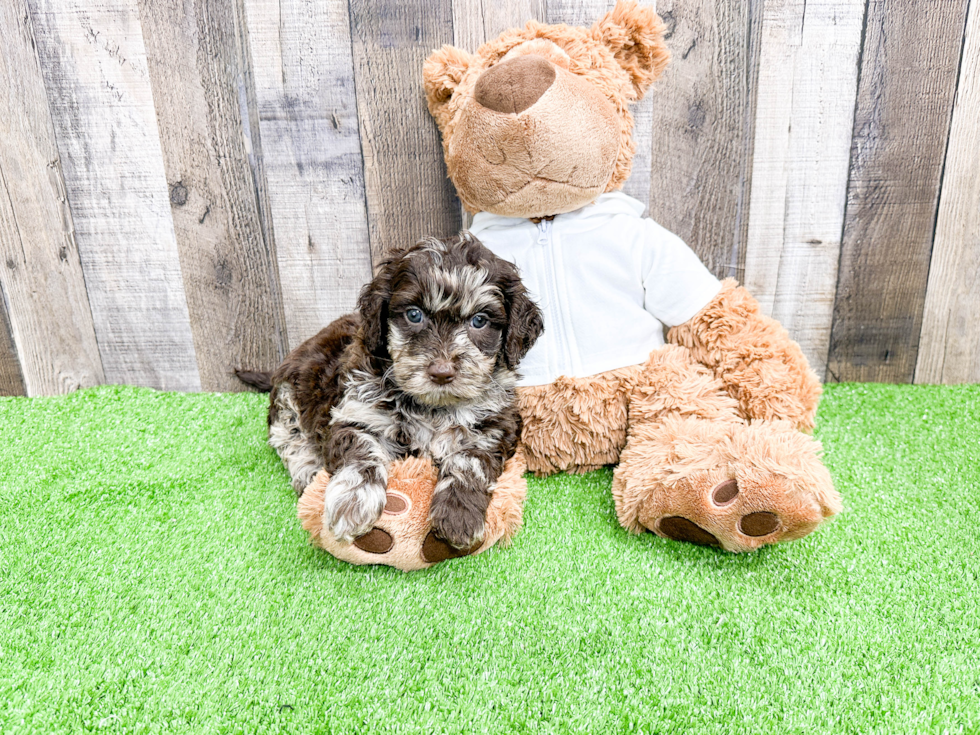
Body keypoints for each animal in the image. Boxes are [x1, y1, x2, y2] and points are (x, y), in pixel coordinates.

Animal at [237, 233, 544, 548]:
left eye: (479, 320)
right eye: (414, 315)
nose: (441, 372)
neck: (432, 407)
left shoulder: (496, 425)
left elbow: (470, 460)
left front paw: (459, 513)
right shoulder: (356, 413)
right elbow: (361, 454)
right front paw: (353, 502)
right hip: (289, 395)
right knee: (289, 437)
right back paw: (308, 471)